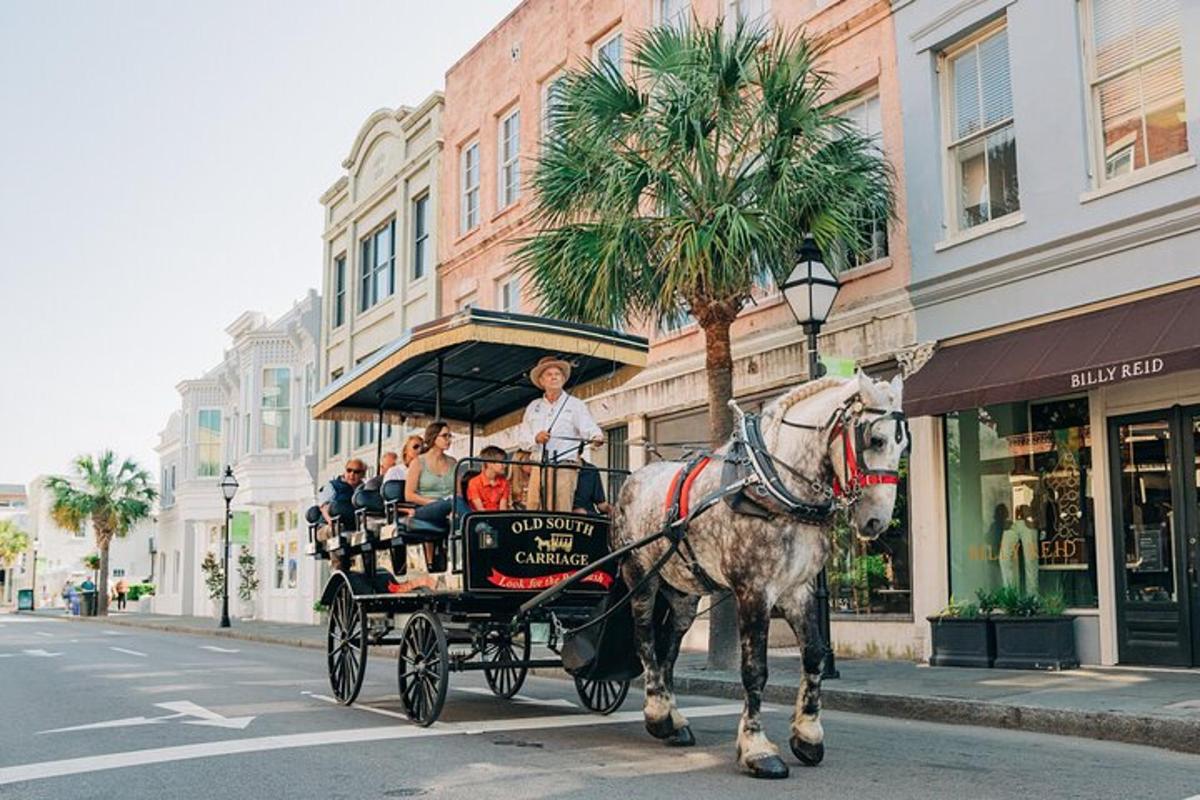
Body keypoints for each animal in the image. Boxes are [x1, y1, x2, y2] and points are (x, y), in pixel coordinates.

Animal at [614, 376, 902, 782]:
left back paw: (674, 720)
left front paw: (808, 735)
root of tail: (633, 479)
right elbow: (754, 670)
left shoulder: (798, 589)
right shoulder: (754, 590)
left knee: (669, 645)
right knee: (645, 639)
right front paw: (757, 749)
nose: (877, 521)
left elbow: (814, 655)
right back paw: (657, 715)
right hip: (640, 575)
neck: (772, 484)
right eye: (874, 440)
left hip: (684, 590)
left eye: (903, 443)